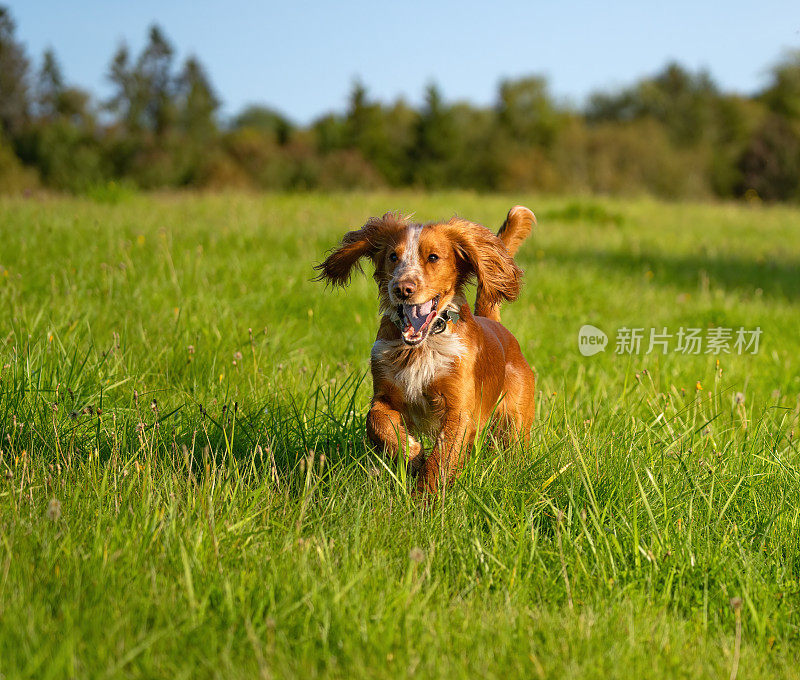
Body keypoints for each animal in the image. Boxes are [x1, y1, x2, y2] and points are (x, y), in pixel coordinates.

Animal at [314, 207, 536, 494]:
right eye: (393, 256)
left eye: (433, 257)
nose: (402, 288)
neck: (421, 348)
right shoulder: (384, 393)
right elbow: (375, 420)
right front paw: (410, 452)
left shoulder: (459, 409)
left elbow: (442, 458)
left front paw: (424, 498)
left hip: (515, 419)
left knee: (514, 447)